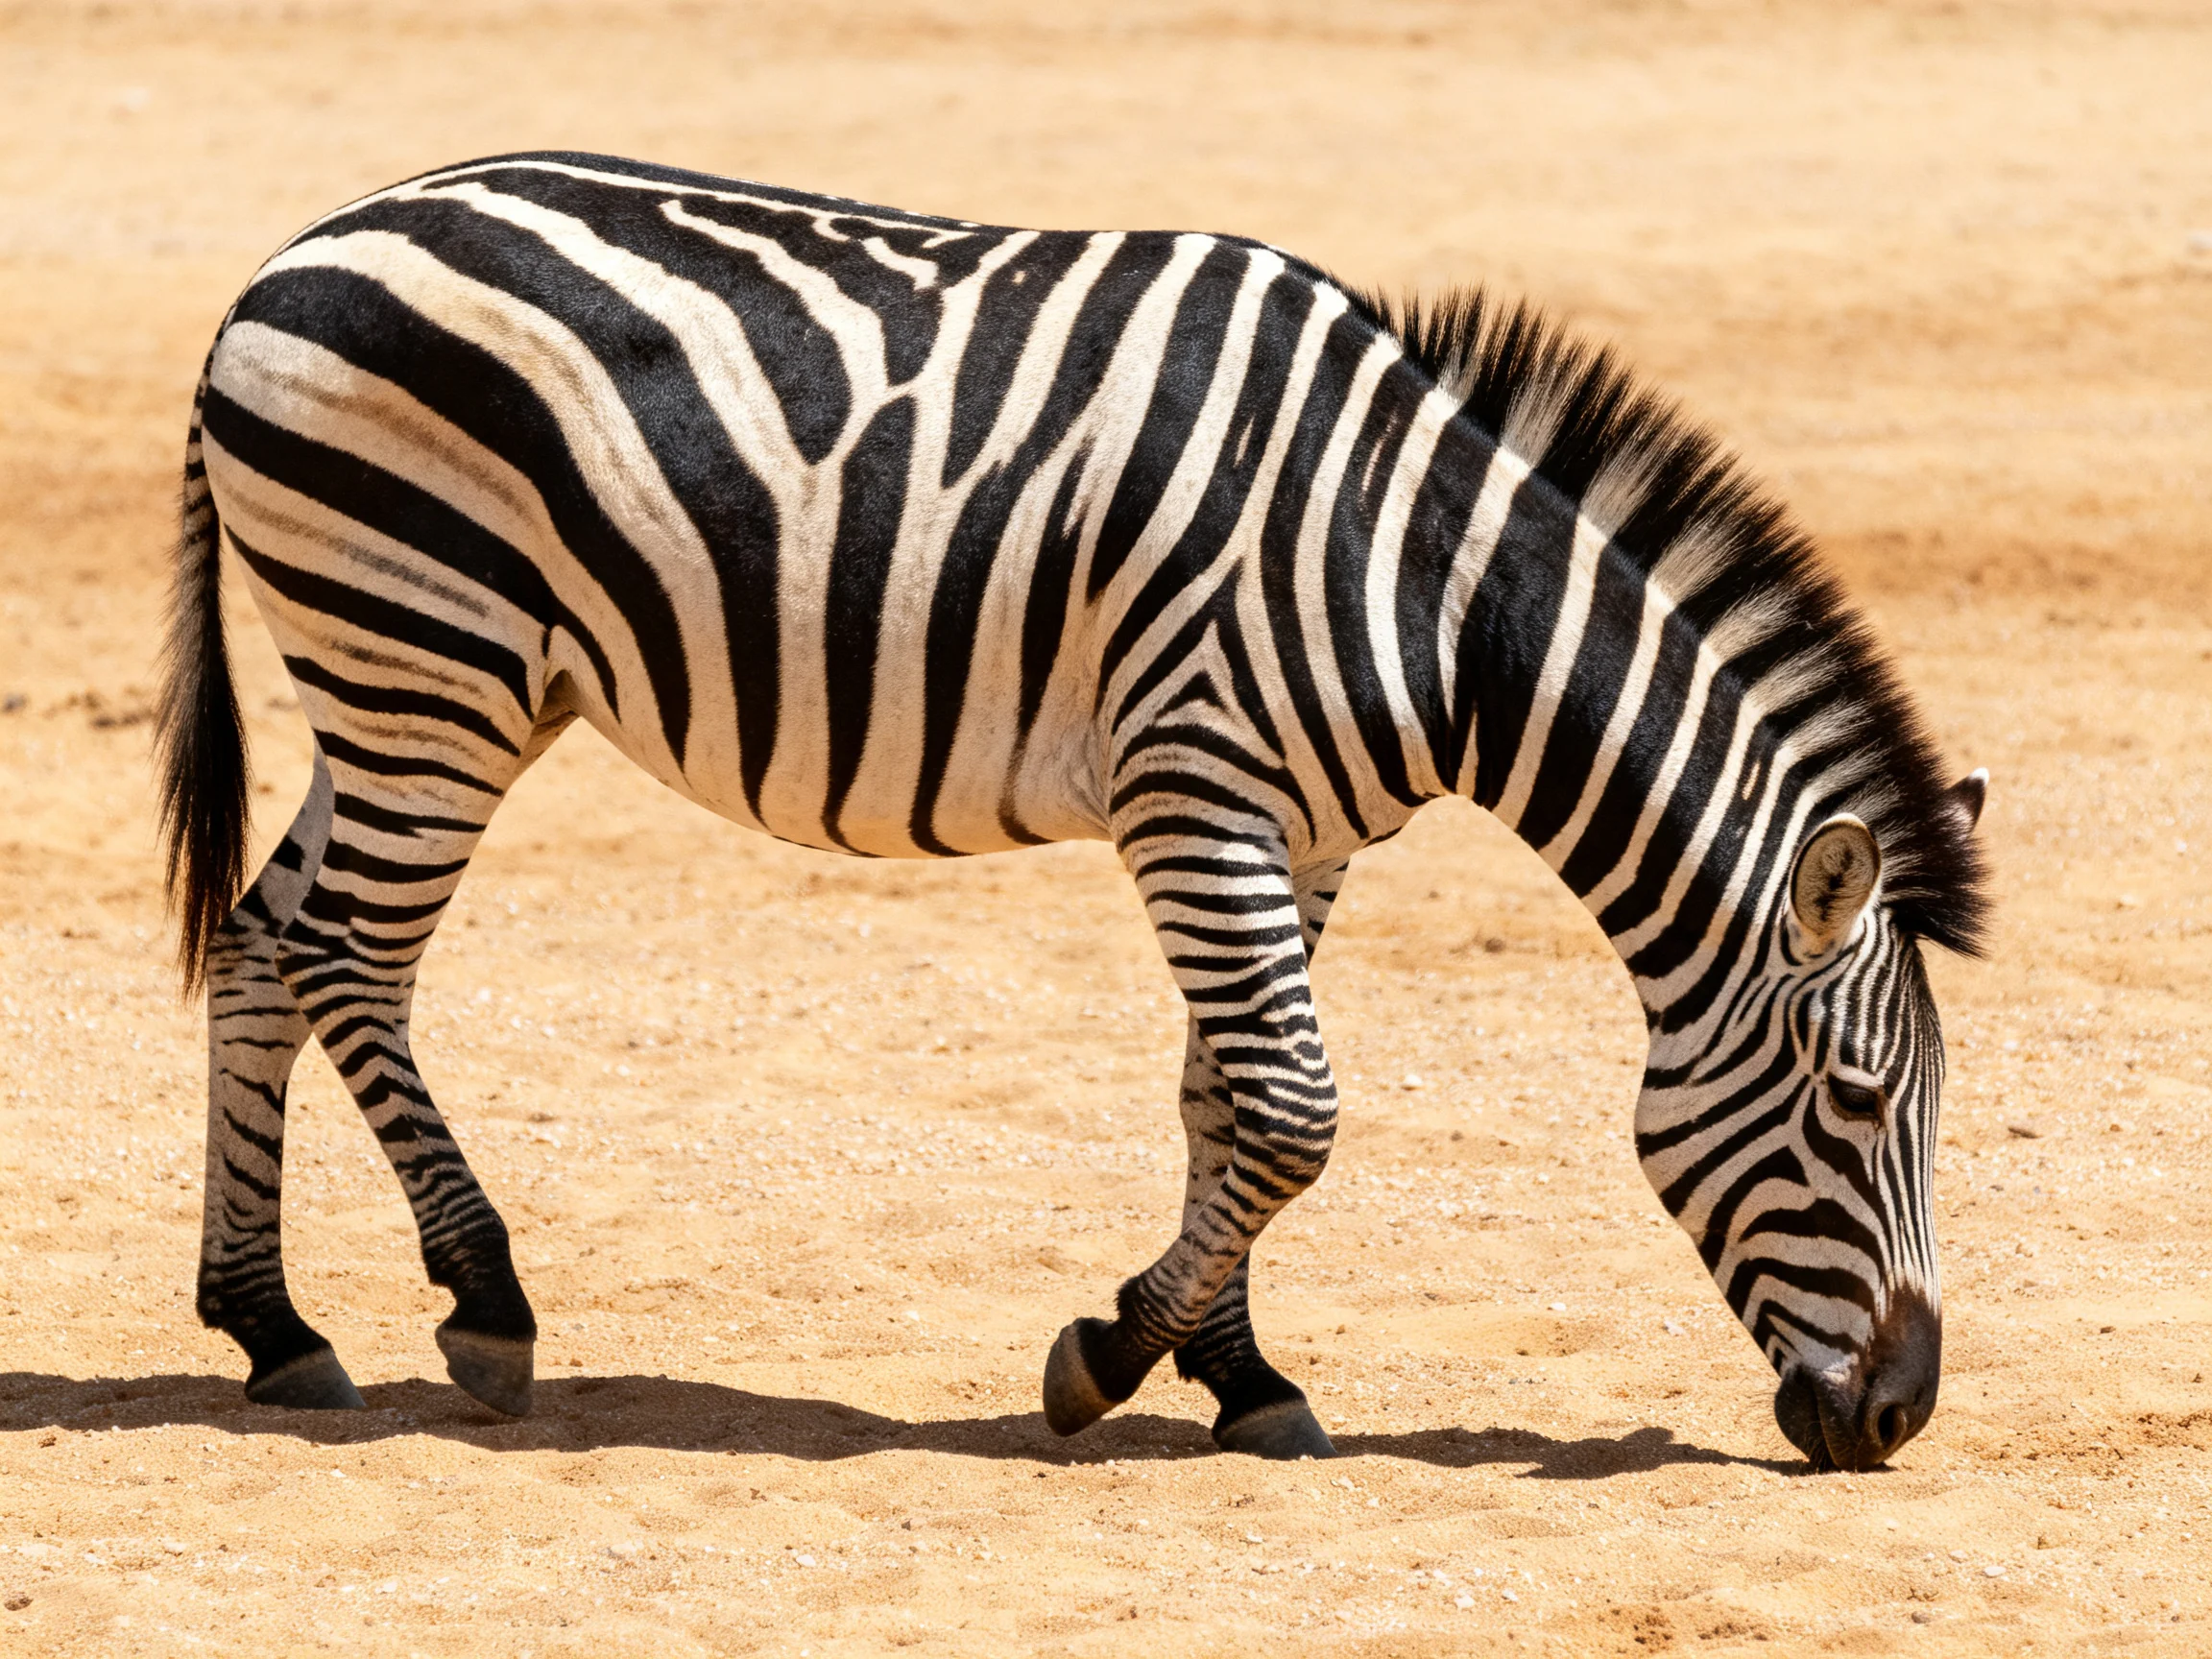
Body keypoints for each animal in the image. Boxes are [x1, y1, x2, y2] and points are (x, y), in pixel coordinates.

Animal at [158, 151, 1989, 1471]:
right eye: (1851, 1103)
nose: (1897, 1415)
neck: (1435, 595)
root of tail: (288, 256)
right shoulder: (1194, 790)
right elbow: (1290, 1111)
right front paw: (1108, 1357)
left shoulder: (1302, 834)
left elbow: (1220, 1097)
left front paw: (1241, 1377)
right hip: (428, 659)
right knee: (347, 960)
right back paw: (482, 1299)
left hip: (415, 680)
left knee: (259, 944)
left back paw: (272, 1326)